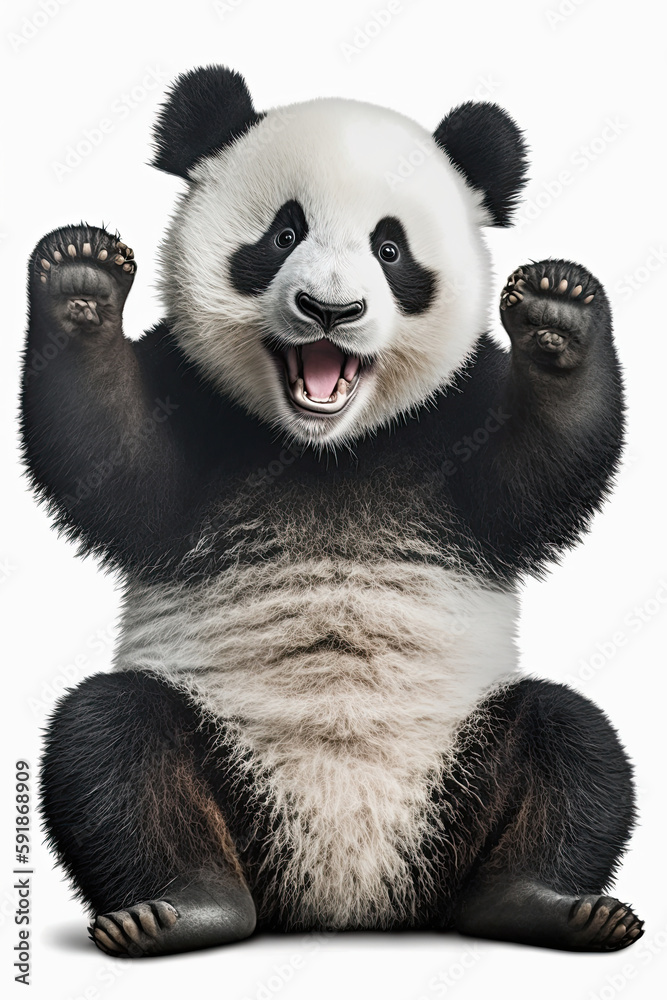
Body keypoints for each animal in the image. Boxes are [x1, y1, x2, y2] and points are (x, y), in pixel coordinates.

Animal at [22, 65, 641, 957]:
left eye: (390, 250)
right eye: (284, 234)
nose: (330, 311)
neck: (326, 450)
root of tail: (347, 897)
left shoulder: (454, 420)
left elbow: (537, 474)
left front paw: (557, 313)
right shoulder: (195, 405)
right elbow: (112, 464)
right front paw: (80, 281)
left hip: (458, 756)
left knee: (572, 744)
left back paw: (544, 902)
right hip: (225, 756)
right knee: (111, 744)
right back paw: (178, 907)